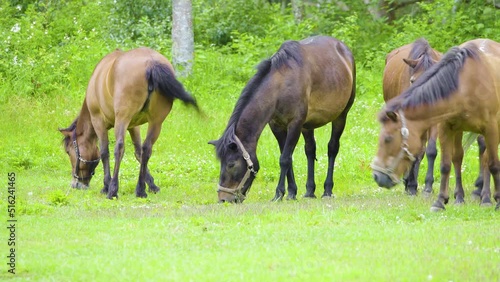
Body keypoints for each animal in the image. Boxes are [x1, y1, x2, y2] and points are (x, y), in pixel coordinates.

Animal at [59, 46, 197, 198]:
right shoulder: (133, 126)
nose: (75, 184)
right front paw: (152, 185)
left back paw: (113, 189)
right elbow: (138, 152)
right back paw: (140, 189)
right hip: (156, 122)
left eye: (68, 151)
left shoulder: (99, 122)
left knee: (119, 148)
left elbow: (104, 152)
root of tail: (151, 63)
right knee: (146, 148)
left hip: (122, 119)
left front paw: (106, 185)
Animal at [210, 35, 356, 203]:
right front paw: (292, 192)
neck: (280, 87)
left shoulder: (295, 124)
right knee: (310, 150)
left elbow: (284, 159)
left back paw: (327, 190)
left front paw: (279, 193)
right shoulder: (277, 126)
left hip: (341, 116)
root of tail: (343, 48)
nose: (223, 199)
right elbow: (288, 158)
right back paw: (309, 191)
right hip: (308, 126)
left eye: (231, 164)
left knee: (332, 148)